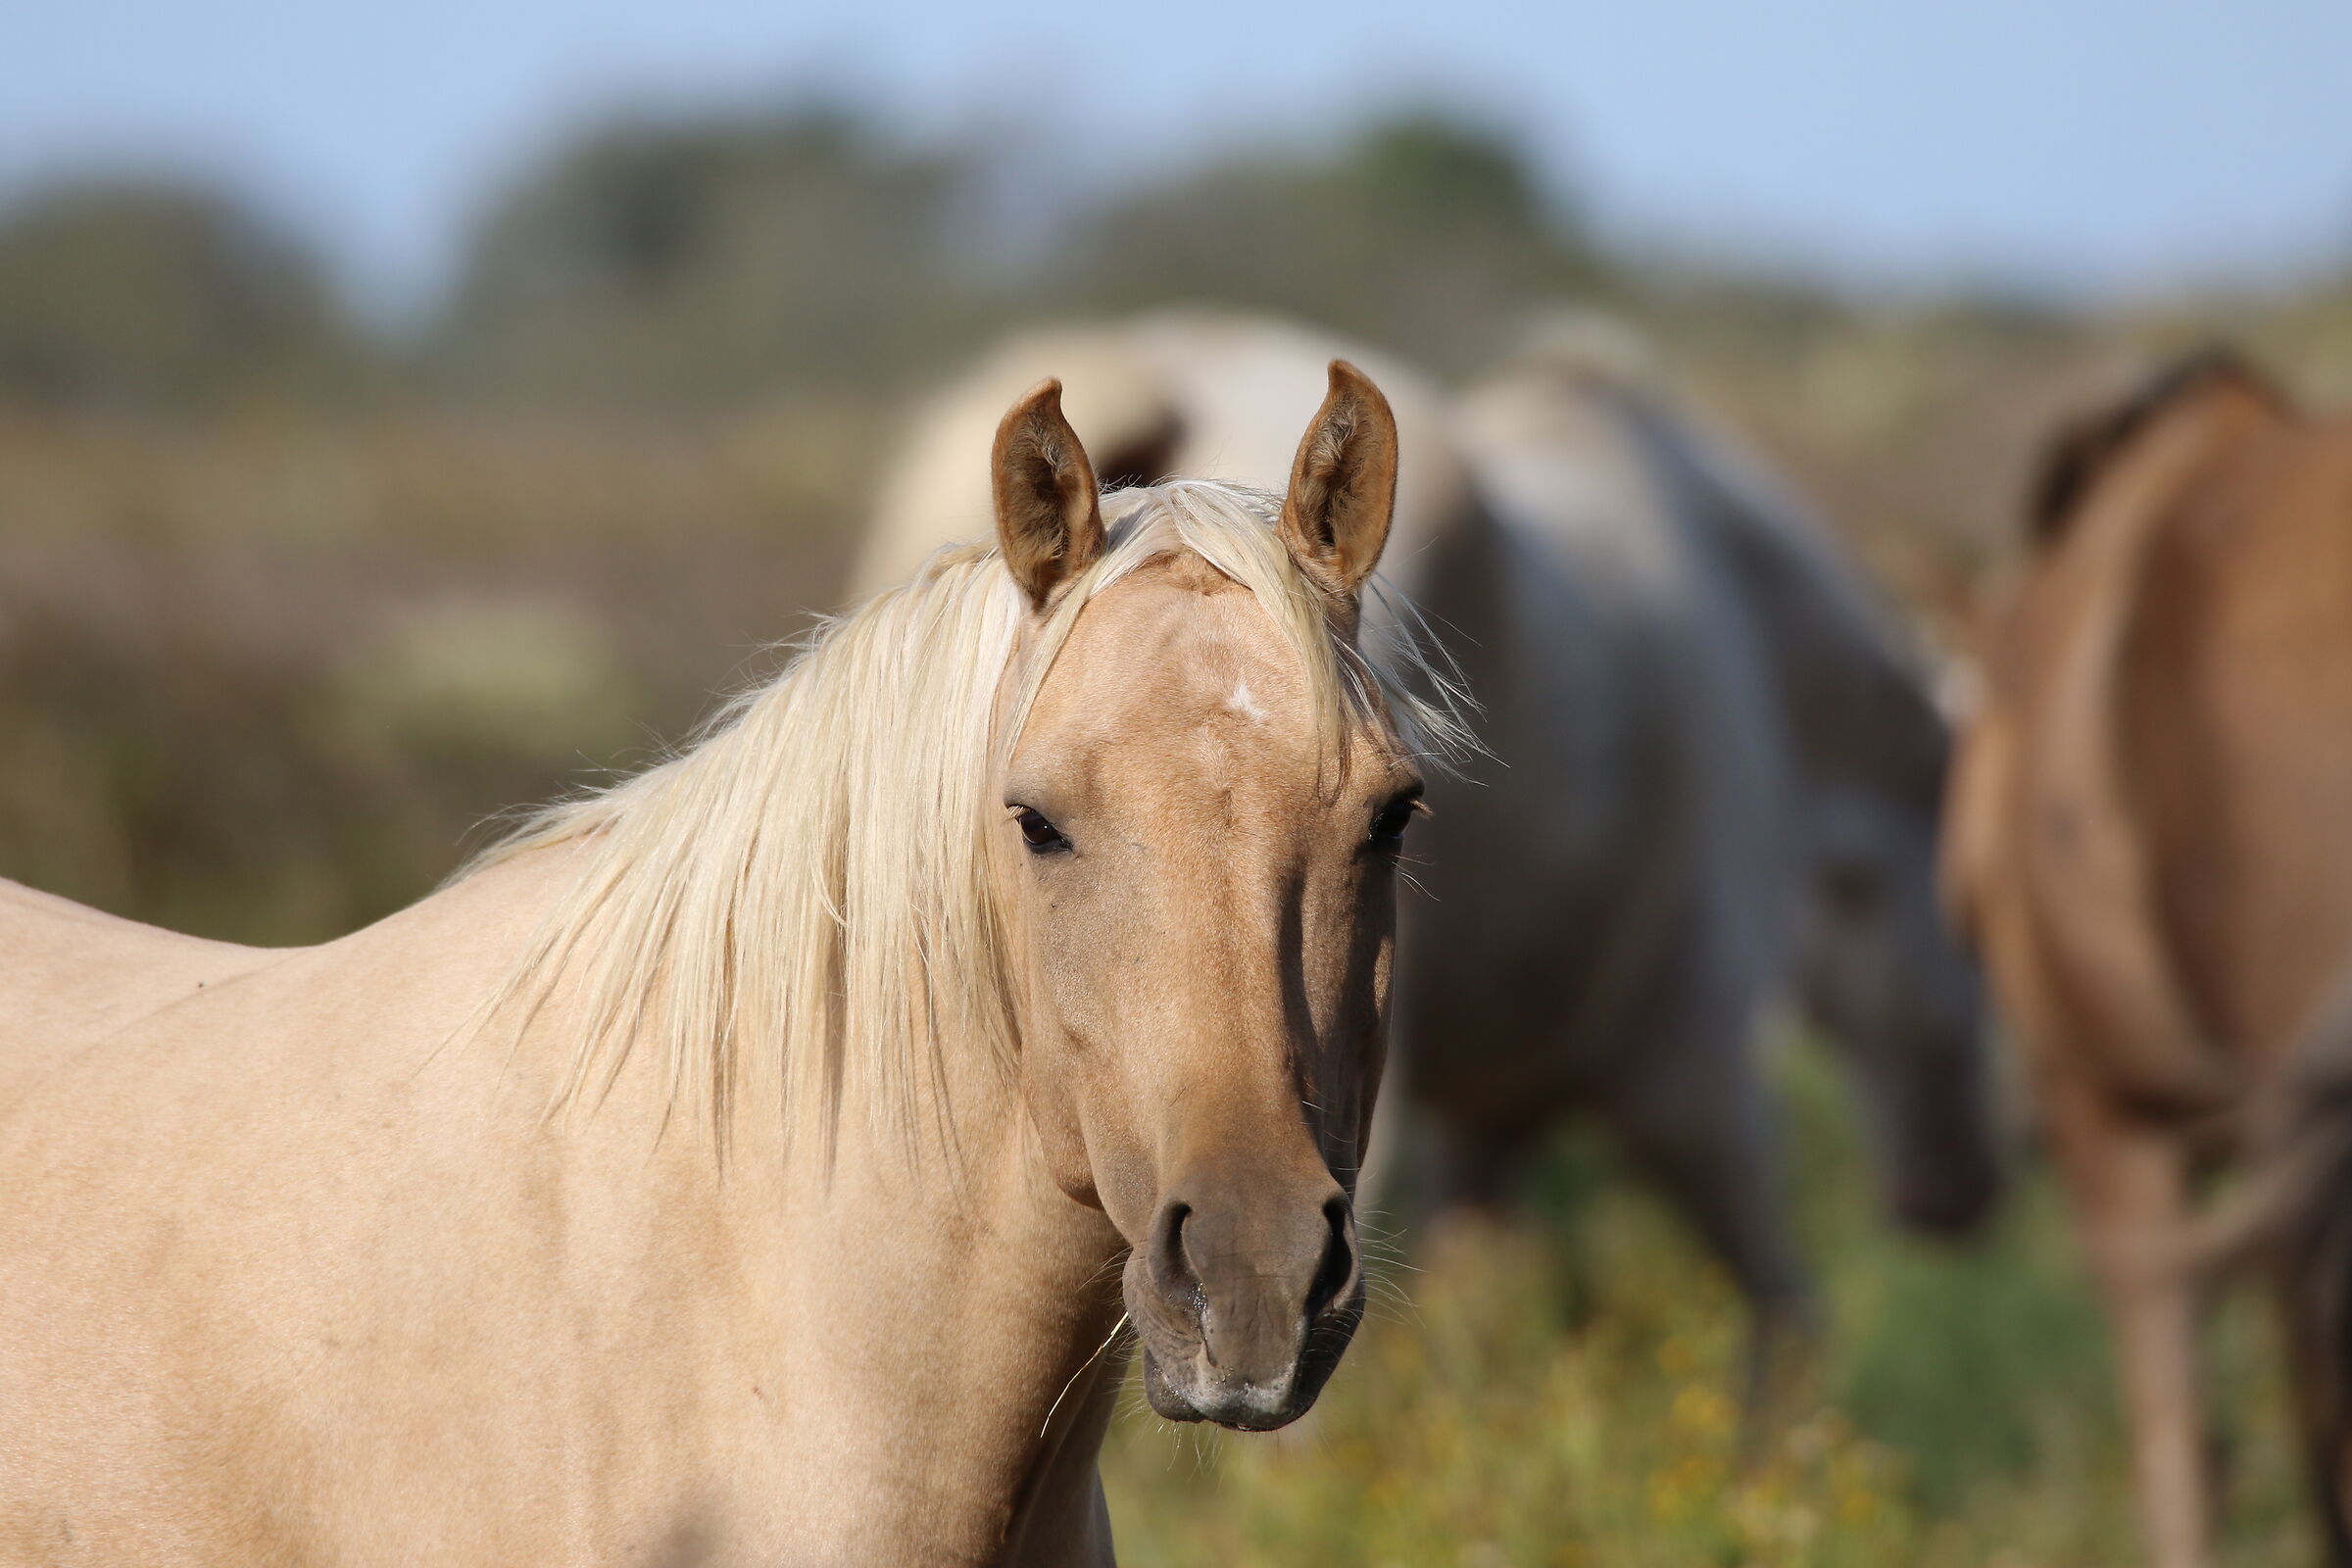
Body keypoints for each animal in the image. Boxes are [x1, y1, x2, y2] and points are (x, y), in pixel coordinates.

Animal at [854, 310, 1998, 1383]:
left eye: (1398, 816)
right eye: (1976, 925)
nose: (1965, 1191)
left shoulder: (1487, 1130)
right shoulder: (1693, 1075)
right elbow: (1787, 1323)